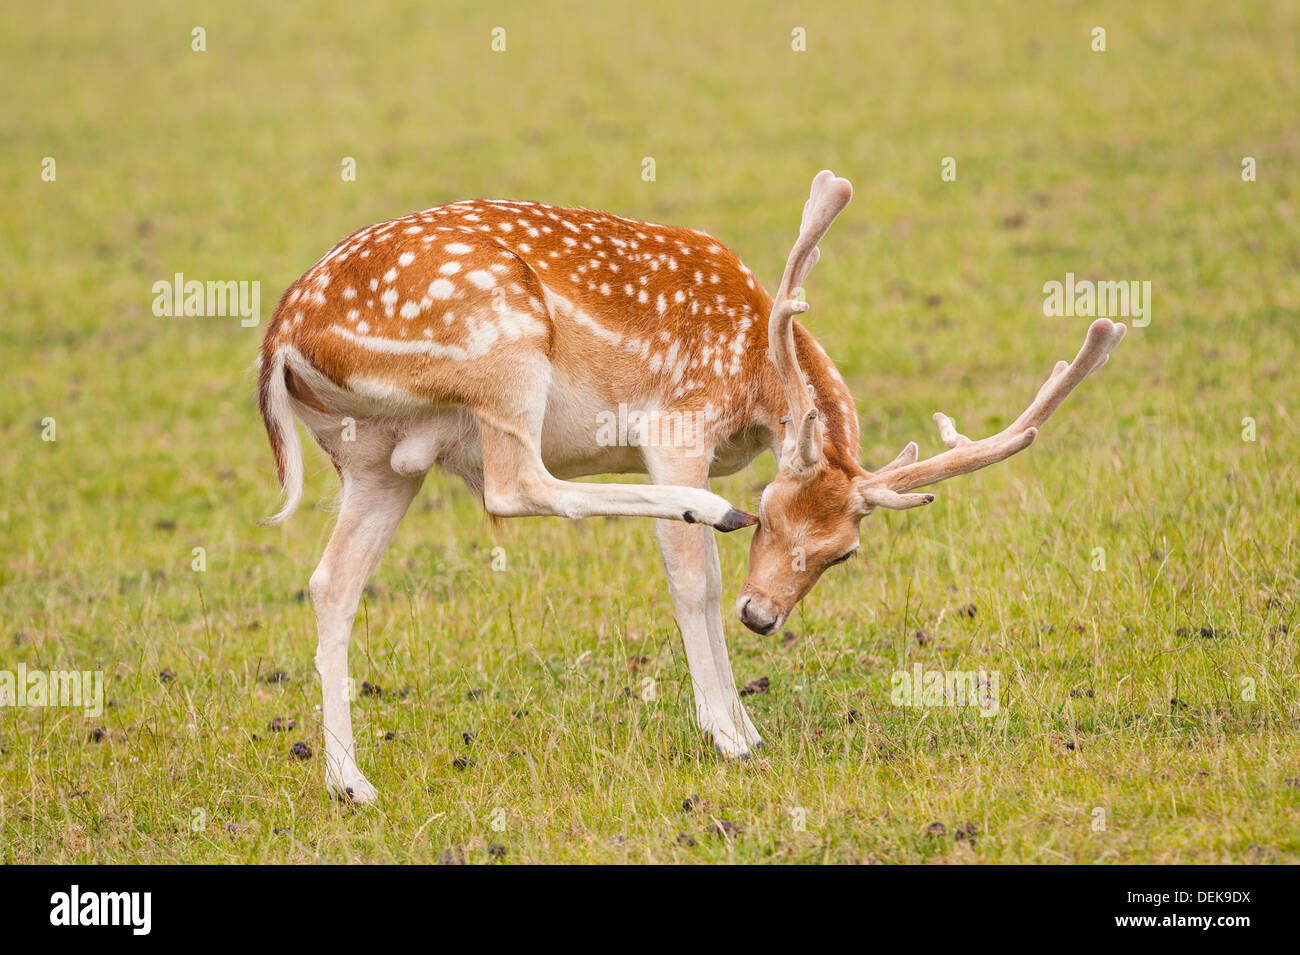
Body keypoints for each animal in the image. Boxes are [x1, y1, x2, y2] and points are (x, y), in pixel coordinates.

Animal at [258, 170, 1123, 800]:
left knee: (332, 581)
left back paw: (350, 781)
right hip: (501, 354)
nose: (764, 616)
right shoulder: (675, 429)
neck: (752, 378)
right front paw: (730, 733)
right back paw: (708, 510)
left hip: (378, 457)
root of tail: (282, 337)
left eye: (842, 552)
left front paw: (746, 721)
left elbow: (700, 577)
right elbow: (694, 581)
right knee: (514, 485)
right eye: (771, 512)